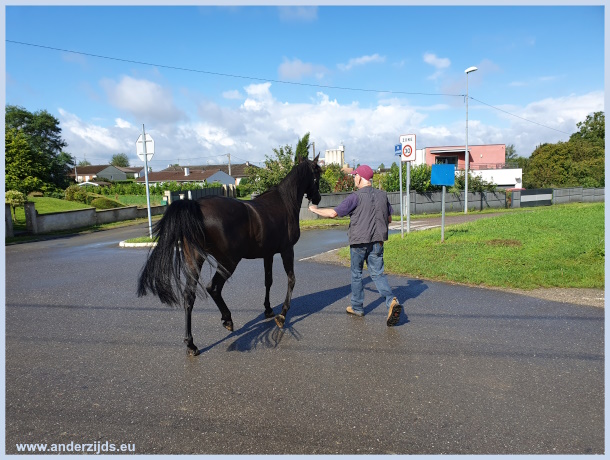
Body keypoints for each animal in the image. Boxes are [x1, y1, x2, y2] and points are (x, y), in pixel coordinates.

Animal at [136, 155, 320, 356]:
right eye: (318, 173)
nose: (318, 198)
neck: (284, 202)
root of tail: (196, 206)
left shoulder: (268, 254)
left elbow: (268, 281)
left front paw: (268, 309)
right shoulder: (287, 250)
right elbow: (291, 279)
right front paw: (281, 316)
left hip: (196, 260)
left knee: (189, 296)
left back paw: (191, 344)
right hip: (228, 262)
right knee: (213, 288)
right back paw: (227, 320)